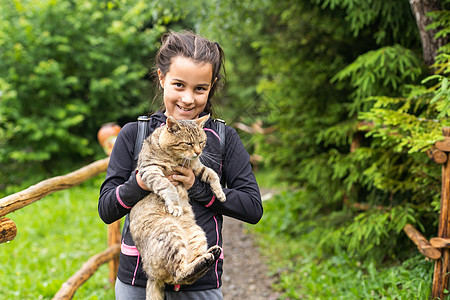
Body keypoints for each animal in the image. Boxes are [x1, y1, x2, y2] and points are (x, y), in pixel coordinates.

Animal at [128, 114, 227, 300]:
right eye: (188, 143)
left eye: (202, 142)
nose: (198, 152)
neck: (177, 158)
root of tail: (151, 276)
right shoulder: (151, 170)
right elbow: (168, 186)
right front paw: (175, 205)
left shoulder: (196, 167)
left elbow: (212, 174)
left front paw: (220, 194)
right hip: (170, 233)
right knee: (178, 274)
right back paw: (206, 259)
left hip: (197, 234)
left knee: (184, 275)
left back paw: (211, 254)